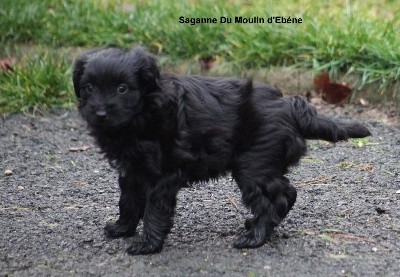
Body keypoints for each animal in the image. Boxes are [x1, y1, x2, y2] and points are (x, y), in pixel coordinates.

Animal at [71, 45, 368, 254]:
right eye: (89, 87)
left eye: (122, 88)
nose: (99, 113)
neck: (143, 110)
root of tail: (292, 106)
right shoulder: (131, 169)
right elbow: (128, 200)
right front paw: (122, 228)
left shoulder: (163, 175)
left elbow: (155, 208)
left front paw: (148, 245)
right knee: (286, 193)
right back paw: (258, 225)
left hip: (252, 166)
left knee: (276, 197)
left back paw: (254, 237)